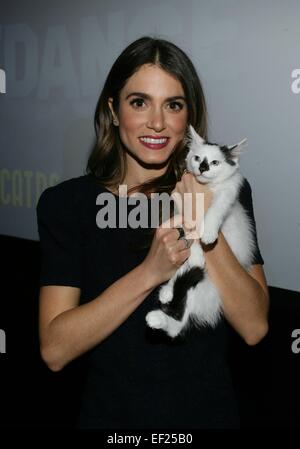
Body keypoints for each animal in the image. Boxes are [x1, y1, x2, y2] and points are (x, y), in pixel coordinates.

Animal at [145, 125, 255, 336]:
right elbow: (189, 231)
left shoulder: (227, 193)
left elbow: (215, 210)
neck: (208, 187)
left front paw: (209, 232)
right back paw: (166, 294)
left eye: (214, 162)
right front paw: (196, 251)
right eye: (197, 158)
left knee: (178, 324)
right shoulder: (181, 208)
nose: (203, 168)